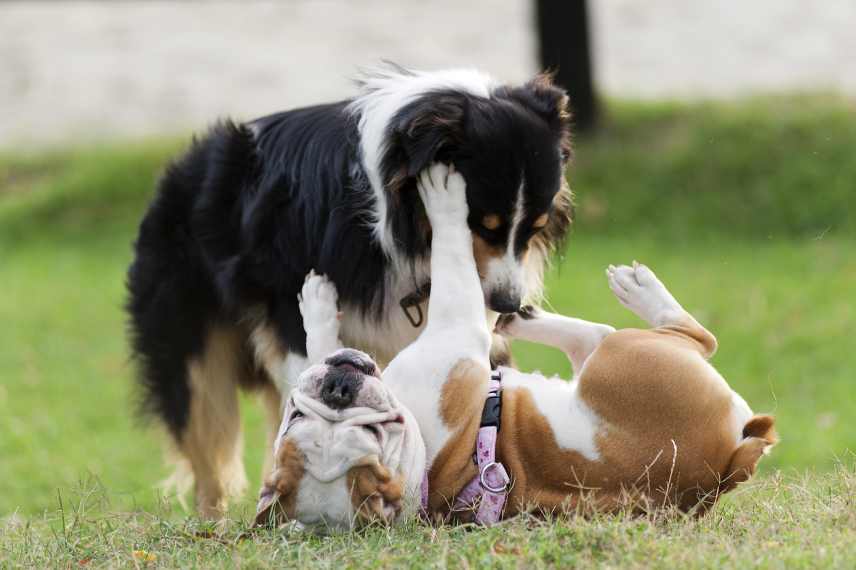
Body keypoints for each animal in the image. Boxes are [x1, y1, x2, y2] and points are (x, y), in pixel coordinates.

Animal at [125, 66, 568, 516]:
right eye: (483, 225)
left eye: (533, 227)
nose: (507, 304)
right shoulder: (288, 306)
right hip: (189, 339)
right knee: (205, 434)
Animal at [254, 164, 776, 528]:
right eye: (374, 434)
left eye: (292, 418)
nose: (339, 389)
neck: (424, 474)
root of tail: (728, 463)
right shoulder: (455, 330)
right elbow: (452, 257)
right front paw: (444, 193)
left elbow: (320, 346)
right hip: (627, 359)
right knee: (682, 336)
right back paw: (627, 293)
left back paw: (524, 313)